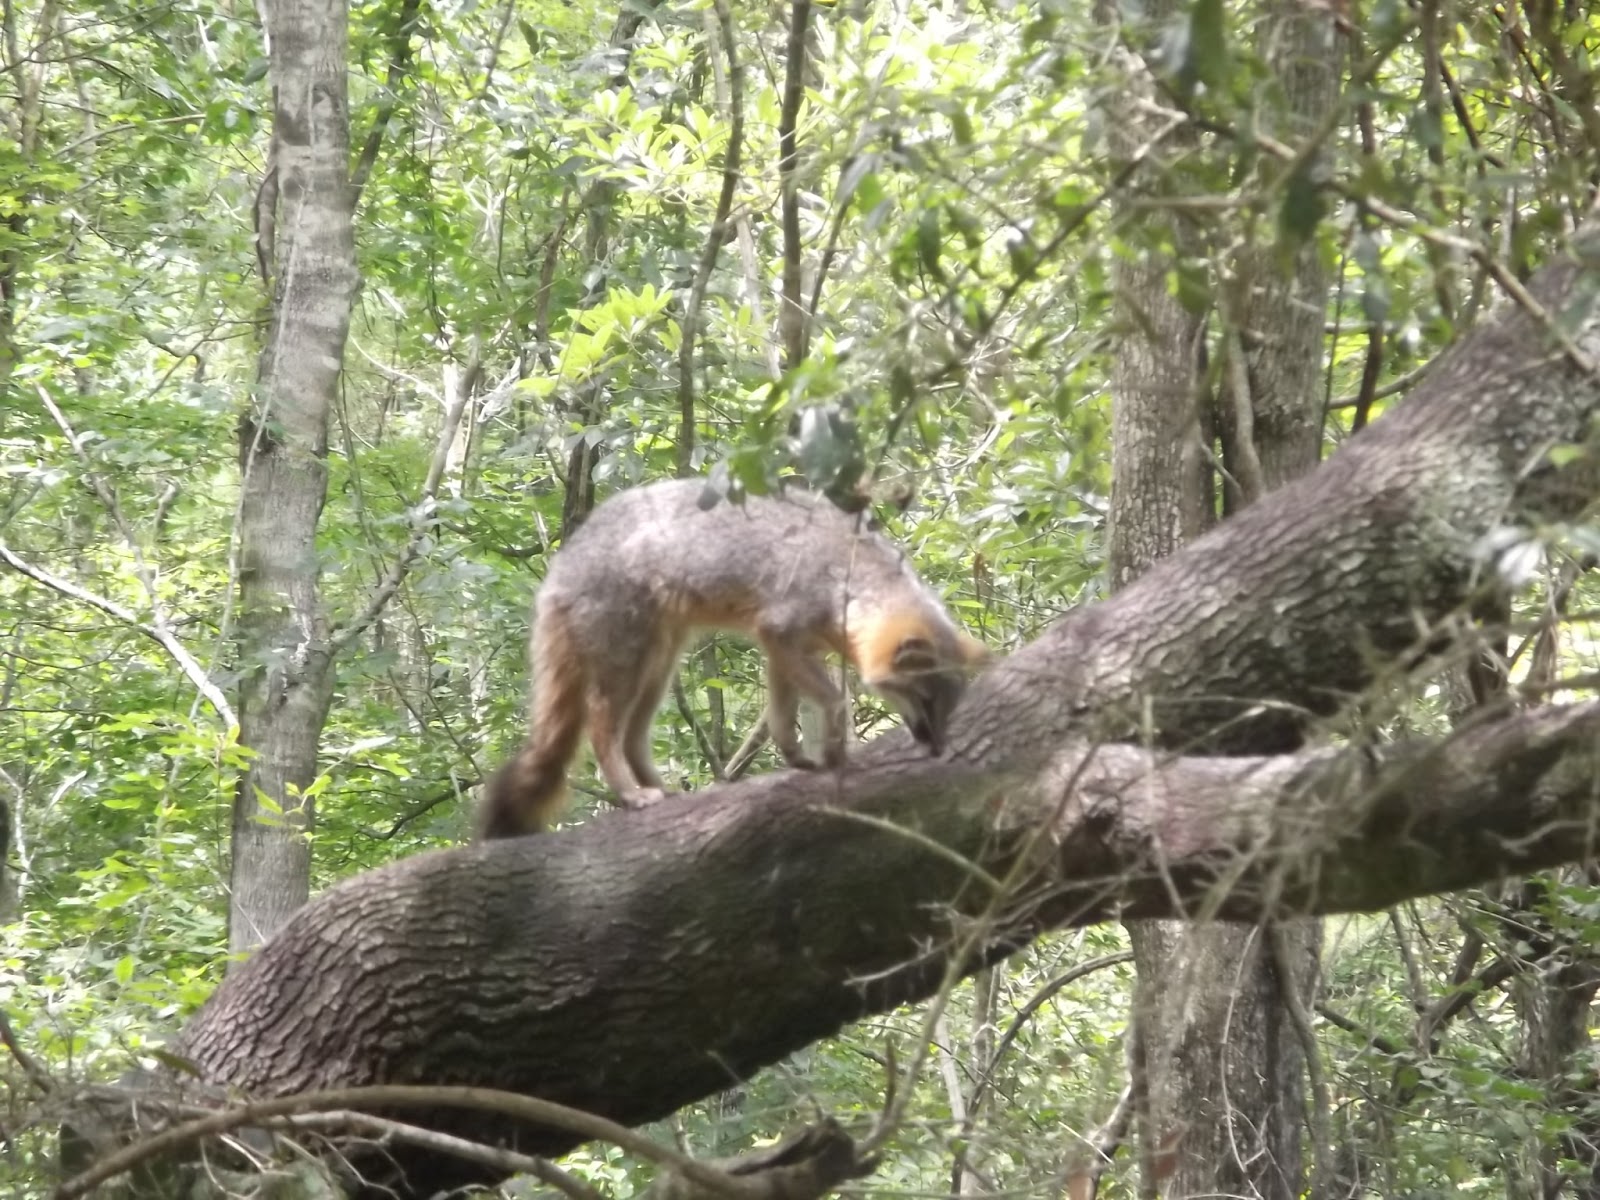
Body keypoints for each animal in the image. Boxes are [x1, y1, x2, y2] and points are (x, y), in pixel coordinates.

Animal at [477, 478, 989, 839]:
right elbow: (834, 699)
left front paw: (798, 757)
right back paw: (632, 794)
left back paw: (668, 790)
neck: (848, 575)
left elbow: (783, 714)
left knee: (632, 738)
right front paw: (834, 752)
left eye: (949, 707)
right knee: (604, 733)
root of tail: (562, 564)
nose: (938, 750)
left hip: (658, 668)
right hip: (626, 665)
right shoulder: (780, 630)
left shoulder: (786, 647)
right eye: (926, 701)